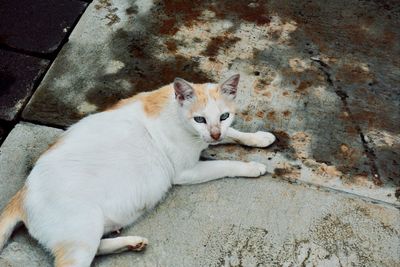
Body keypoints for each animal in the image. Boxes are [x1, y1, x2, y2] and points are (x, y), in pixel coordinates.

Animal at [0, 74, 276, 266]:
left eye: (224, 116)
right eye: (199, 119)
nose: (214, 134)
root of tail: (22, 194)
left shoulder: (213, 136)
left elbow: (234, 133)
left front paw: (258, 138)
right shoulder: (186, 172)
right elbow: (225, 164)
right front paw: (252, 167)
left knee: (98, 246)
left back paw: (130, 244)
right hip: (81, 235)